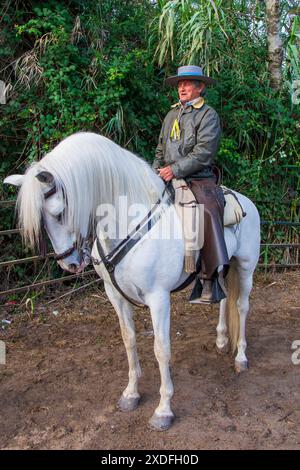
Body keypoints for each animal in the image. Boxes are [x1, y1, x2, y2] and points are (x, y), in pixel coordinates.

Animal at [4, 131, 262, 430]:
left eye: (58, 213)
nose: (70, 264)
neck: (131, 222)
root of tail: (245, 202)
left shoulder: (158, 298)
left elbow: (161, 348)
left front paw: (164, 409)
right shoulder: (114, 295)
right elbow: (129, 340)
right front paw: (131, 394)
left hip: (245, 267)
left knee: (242, 307)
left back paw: (241, 357)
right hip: (223, 266)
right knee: (222, 300)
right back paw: (221, 341)